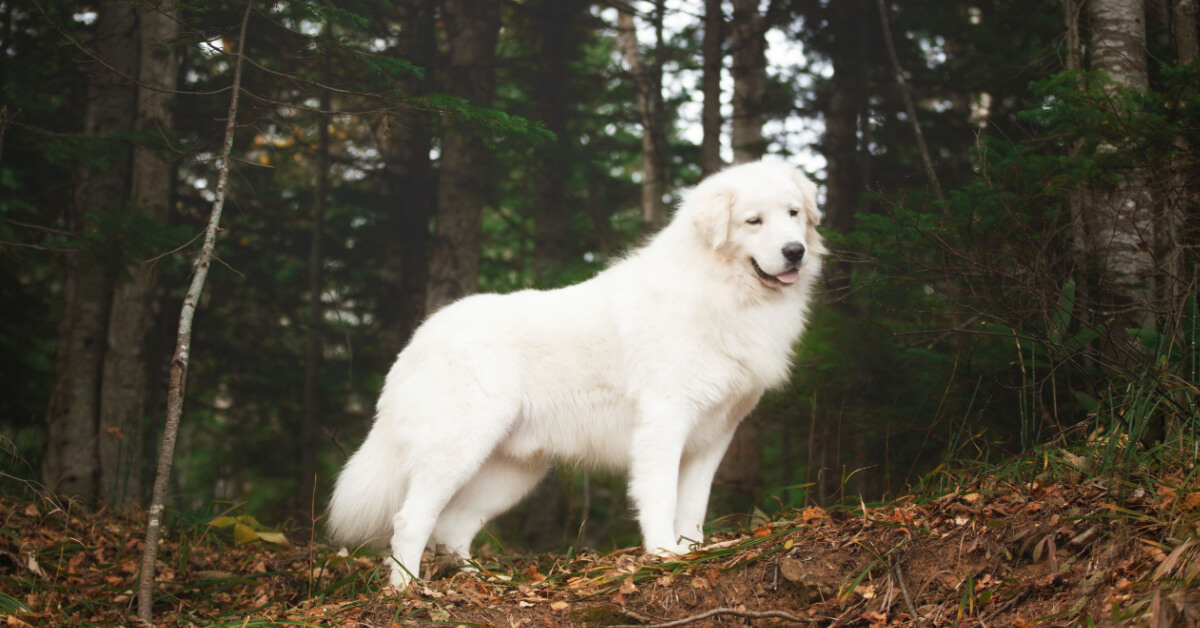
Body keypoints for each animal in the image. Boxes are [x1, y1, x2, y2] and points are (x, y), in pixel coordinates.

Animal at [328, 159, 825, 588]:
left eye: (793, 214)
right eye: (753, 221)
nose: (794, 252)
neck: (721, 289)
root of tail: (418, 339)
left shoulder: (715, 435)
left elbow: (693, 507)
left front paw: (693, 553)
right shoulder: (666, 422)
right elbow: (661, 496)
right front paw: (664, 556)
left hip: (510, 473)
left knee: (451, 527)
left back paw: (483, 582)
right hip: (456, 450)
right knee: (412, 521)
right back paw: (407, 592)